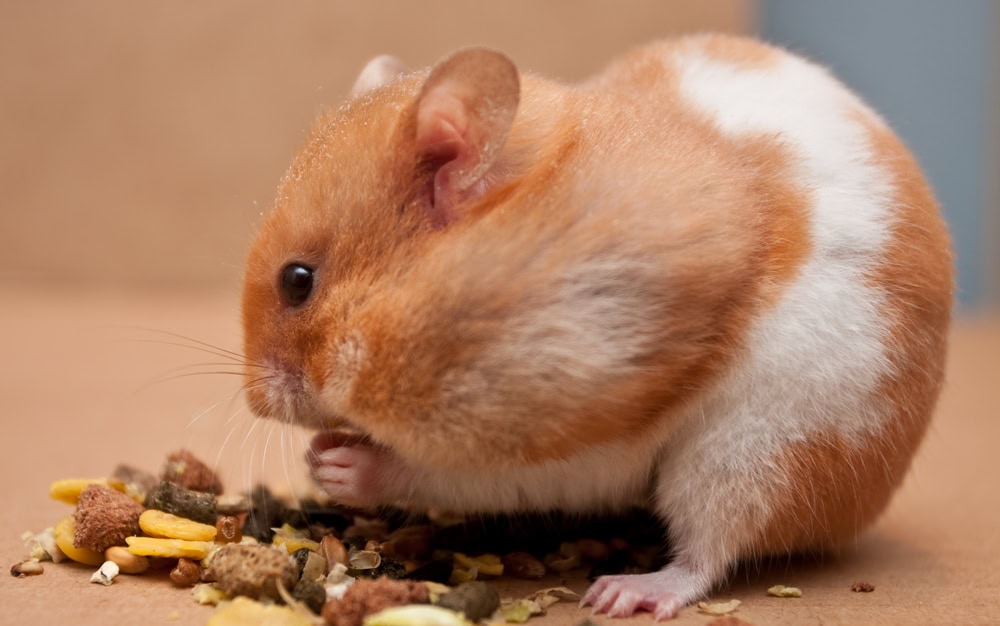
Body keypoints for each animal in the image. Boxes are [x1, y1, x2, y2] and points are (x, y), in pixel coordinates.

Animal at [241, 35, 952, 619]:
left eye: (297, 281)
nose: (255, 404)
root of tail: (866, 501)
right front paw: (317, 455)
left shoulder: (576, 430)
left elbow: (461, 474)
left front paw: (335, 463)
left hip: (753, 455)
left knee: (711, 550)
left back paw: (624, 593)